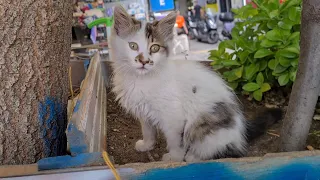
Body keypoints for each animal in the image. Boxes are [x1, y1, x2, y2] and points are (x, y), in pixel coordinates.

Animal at [110, 5, 282, 162]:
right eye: (133, 46)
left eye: (155, 48)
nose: (144, 61)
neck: (142, 79)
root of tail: (240, 133)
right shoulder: (144, 112)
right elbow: (148, 130)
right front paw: (147, 145)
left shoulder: (173, 117)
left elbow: (174, 141)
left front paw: (174, 158)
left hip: (205, 129)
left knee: (223, 151)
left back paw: (193, 157)